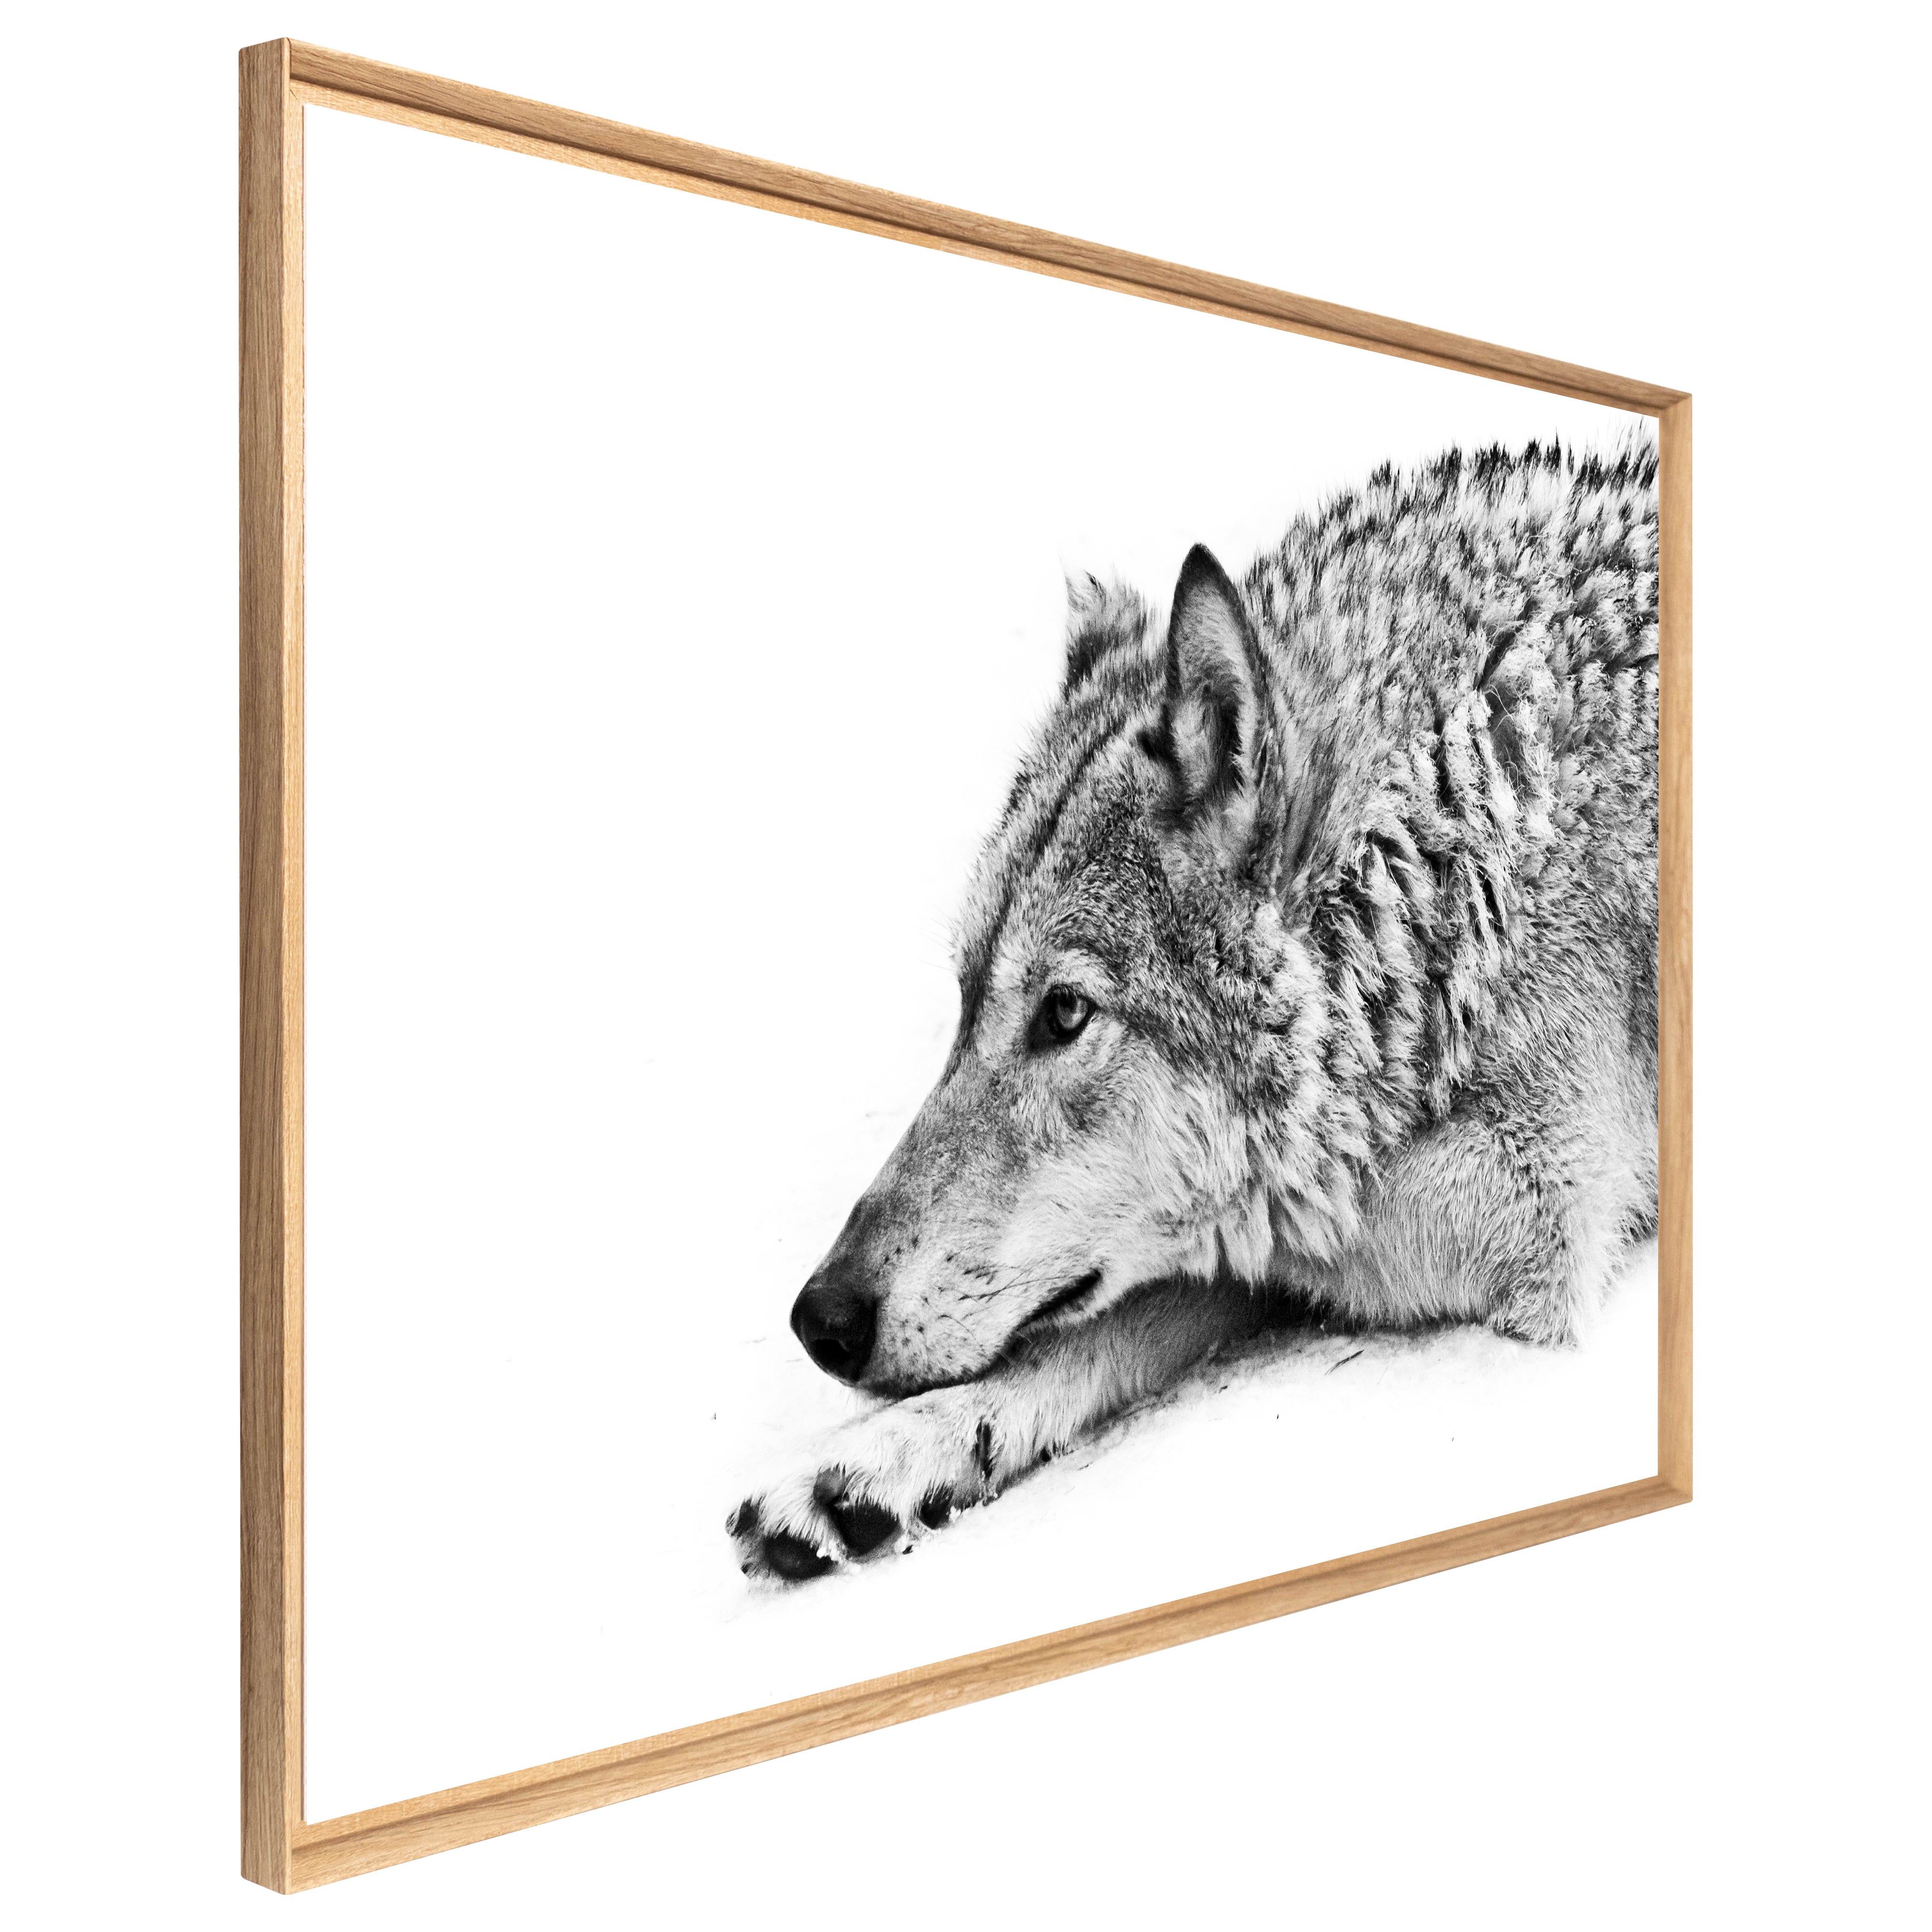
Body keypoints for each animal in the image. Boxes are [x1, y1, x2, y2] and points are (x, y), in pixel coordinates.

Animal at [728, 438, 1659, 1582]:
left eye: (1064, 1013)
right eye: (965, 999)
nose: (822, 1318)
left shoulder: (1540, 1203)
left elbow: (1219, 1249)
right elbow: (1107, 1311)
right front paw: (887, 1453)